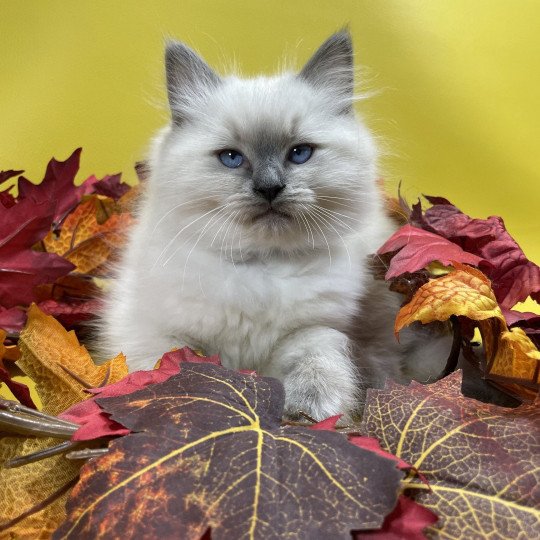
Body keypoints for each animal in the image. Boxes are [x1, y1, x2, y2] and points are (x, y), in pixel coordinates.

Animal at [100, 31, 448, 420]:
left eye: (299, 153)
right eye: (231, 158)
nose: (269, 188)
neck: (261, 265)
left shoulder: (315, 329)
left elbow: (318, 365)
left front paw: (309, 411)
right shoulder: (157, 334)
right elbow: (165, 369)